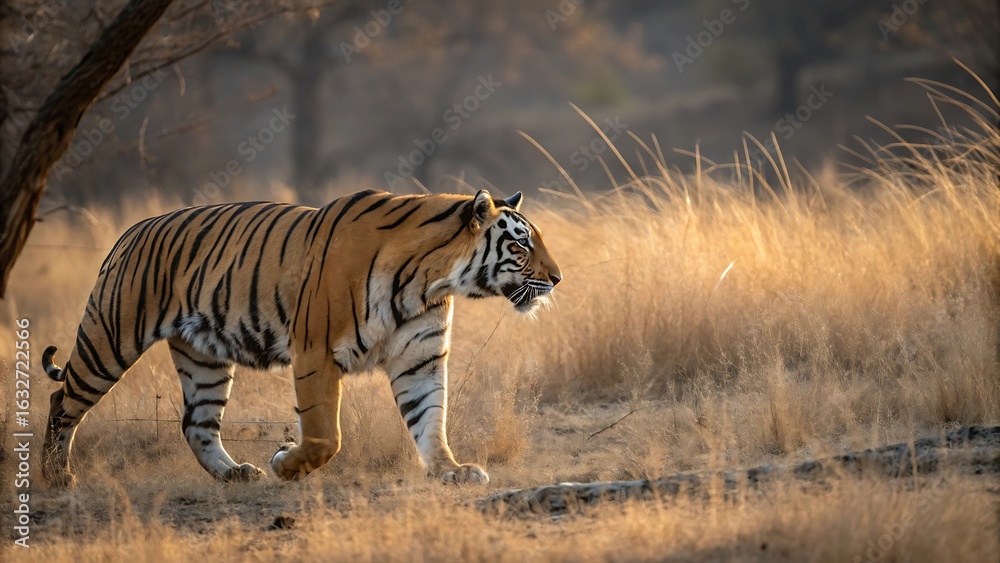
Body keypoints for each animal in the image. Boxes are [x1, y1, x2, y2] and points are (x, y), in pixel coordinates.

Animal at [41, 189, 561, 487]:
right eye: (521, 244)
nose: (558, 278)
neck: (431, 279)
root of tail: (130, 230)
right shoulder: (315, 350)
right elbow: (325, 435)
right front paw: (284, 464)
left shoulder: (421, 358)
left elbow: (431, 419)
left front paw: (450, 471)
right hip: (110, 338)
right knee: (61, 400)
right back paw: (54, 475)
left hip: (204, 359)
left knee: (197, 423)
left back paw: (233, 474)